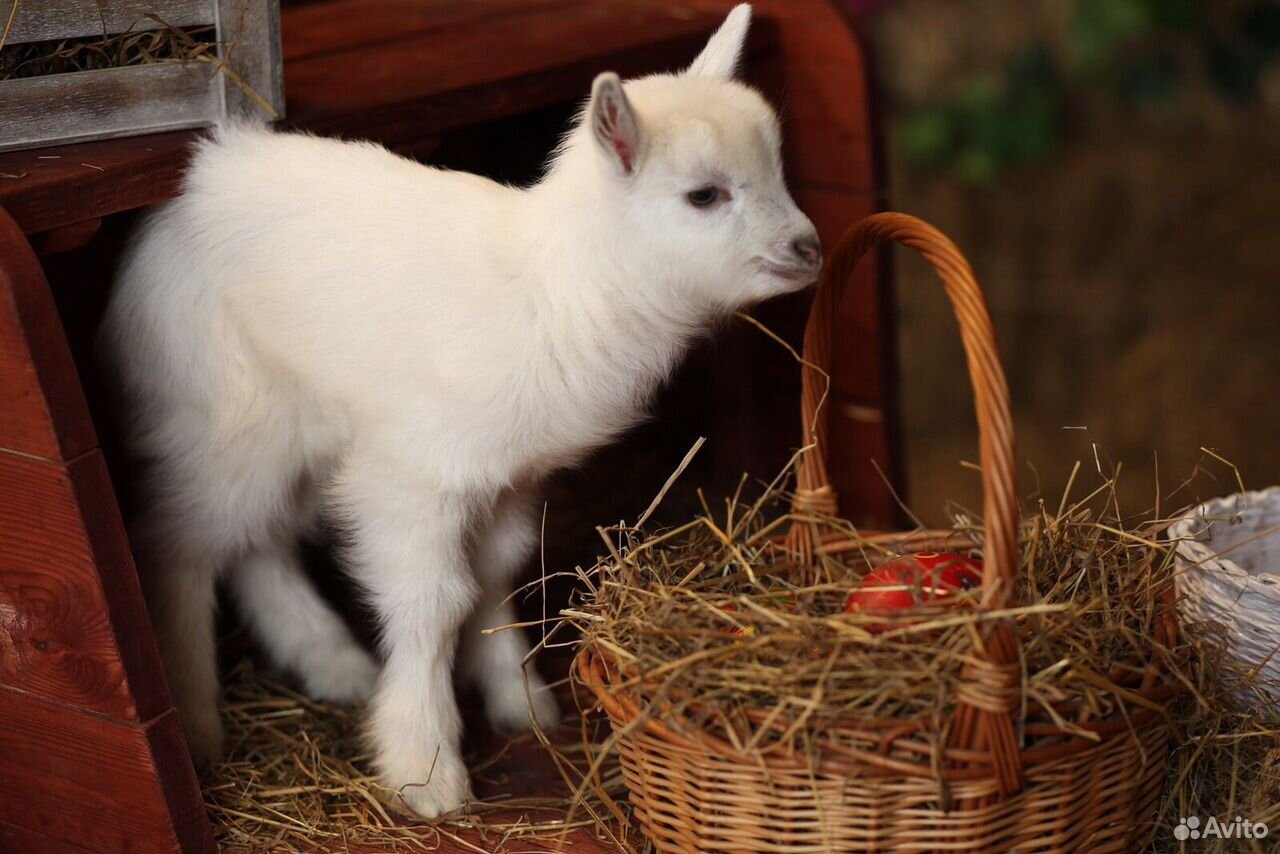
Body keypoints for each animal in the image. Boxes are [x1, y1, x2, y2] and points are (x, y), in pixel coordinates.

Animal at [99, 5, 819, 819]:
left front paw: (520, 700)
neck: (557, 292)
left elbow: (496, 572)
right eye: (703, 195)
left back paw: (333, 664)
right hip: (223, 417)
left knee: (258, 544)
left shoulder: (509, 478)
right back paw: (196, 723)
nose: (809, 249)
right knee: (177, 544)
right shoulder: (415, 476)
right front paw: (427, 768)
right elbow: (433, 604)